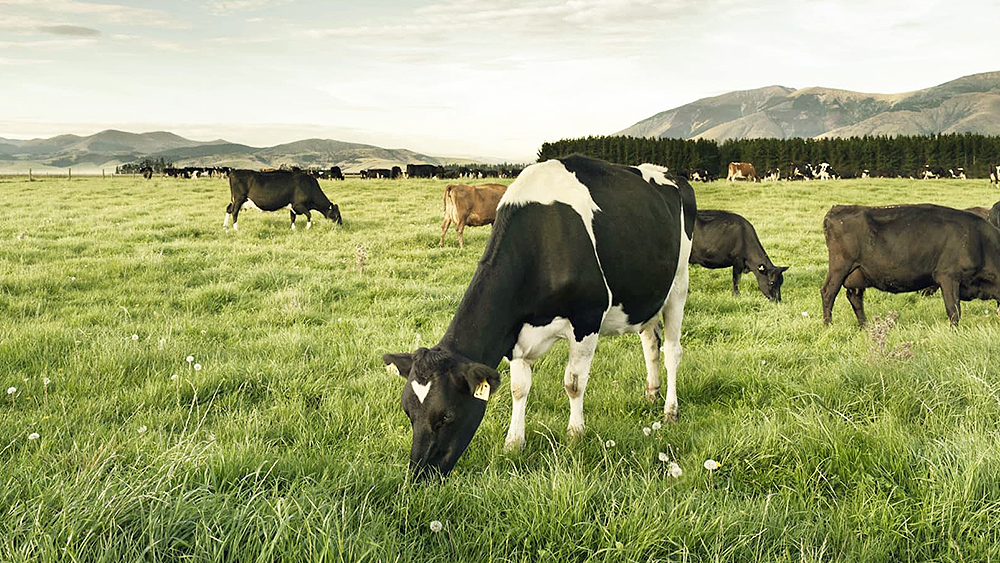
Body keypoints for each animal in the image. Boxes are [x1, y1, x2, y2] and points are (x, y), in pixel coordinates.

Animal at [382, 154, 696, 480]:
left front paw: (574, 436)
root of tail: (671, 175)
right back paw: (651, 393)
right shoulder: (516, 332)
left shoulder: (587, 318)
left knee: (671, 351)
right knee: (650, 344)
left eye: (447, 416)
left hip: (678, 284)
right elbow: (518, 388)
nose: (419, 475)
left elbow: (573, 383)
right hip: (646, 295)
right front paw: (513, 443)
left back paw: (670, 410)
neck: (543, 237)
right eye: (408, 412)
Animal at [820, 204, 1000, 326]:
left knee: (855, 298)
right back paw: (828, 325)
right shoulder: (948, 276)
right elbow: (954, 310)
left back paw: (865, 326)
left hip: (857, 274)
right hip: (840, 268)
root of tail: (837, 209)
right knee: (828, 293)